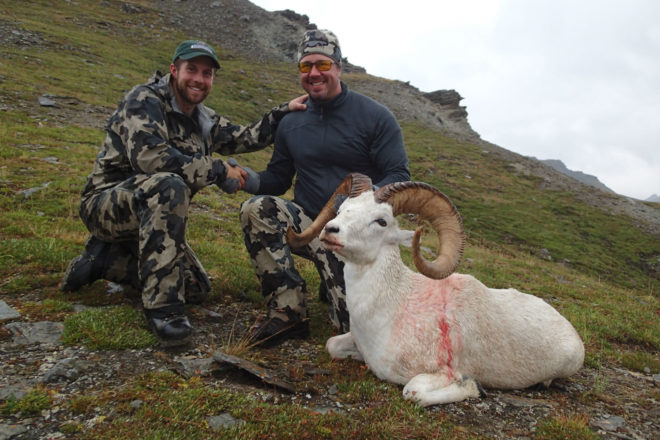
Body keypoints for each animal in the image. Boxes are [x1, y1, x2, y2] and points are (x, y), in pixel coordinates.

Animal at [286, 173, 584, 406]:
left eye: (381, 221)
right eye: (343, 208)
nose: (330, 230)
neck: (392, 308)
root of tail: (571, 331)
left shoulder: (439, 374)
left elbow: (413, 392)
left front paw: (475, 387)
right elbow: (332, 345)